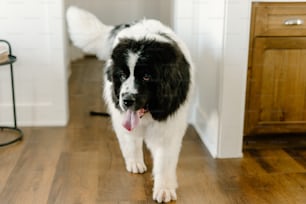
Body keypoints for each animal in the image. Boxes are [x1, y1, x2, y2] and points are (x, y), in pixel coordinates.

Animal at [66, 6, 194, 202]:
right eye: (121, 75)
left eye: (147, 76)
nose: (126, 100)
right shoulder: (122, 116)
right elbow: (130, 140)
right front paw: (135, 162)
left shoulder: (170, 125)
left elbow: (165, 160)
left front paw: (164, 188)